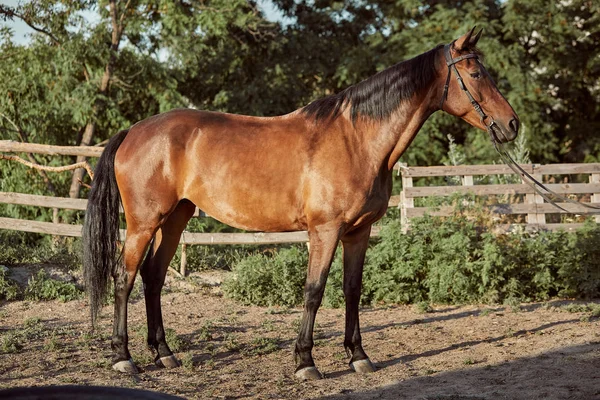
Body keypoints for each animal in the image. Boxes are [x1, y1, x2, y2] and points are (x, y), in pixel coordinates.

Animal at [82, 27, 516, 378]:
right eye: (476, 74)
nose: (511, 124)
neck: (356, 139)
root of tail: (133, 131)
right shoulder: (325, 230)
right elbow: (314, 290)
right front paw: (305, 362)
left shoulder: (359, 231)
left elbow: (352, 289)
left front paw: (358, 356)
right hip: (143, 222)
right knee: (124, 277)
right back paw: (124, 358)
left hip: (175, 218)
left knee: (153, 276)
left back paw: (164, 354)